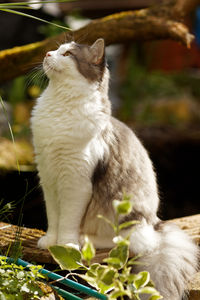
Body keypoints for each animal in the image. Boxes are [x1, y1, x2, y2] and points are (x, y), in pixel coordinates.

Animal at [30, 38, 198, 298]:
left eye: (67, 54)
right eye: (57, 49)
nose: (47, 53)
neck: (59, 105)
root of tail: (156, 223)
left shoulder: (75, 181)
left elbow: (67, 219)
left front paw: (66, 244)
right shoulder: (49, 177)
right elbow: (53, 216)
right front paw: (50, 240)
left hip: (122, 214)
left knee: (124, 244)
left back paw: (85, 239)